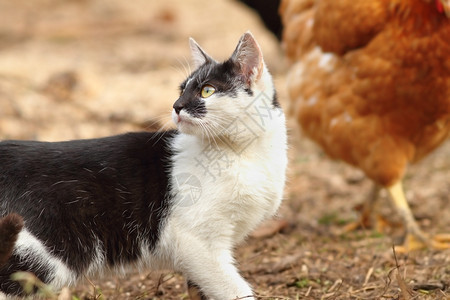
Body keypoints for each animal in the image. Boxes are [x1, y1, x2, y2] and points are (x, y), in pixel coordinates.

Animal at [0, 31, 286, 298]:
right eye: (181, 90)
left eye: (207, 90)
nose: (176, 106)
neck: (240, 153)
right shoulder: (197, 242)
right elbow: (234, 289)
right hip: (37, 257)